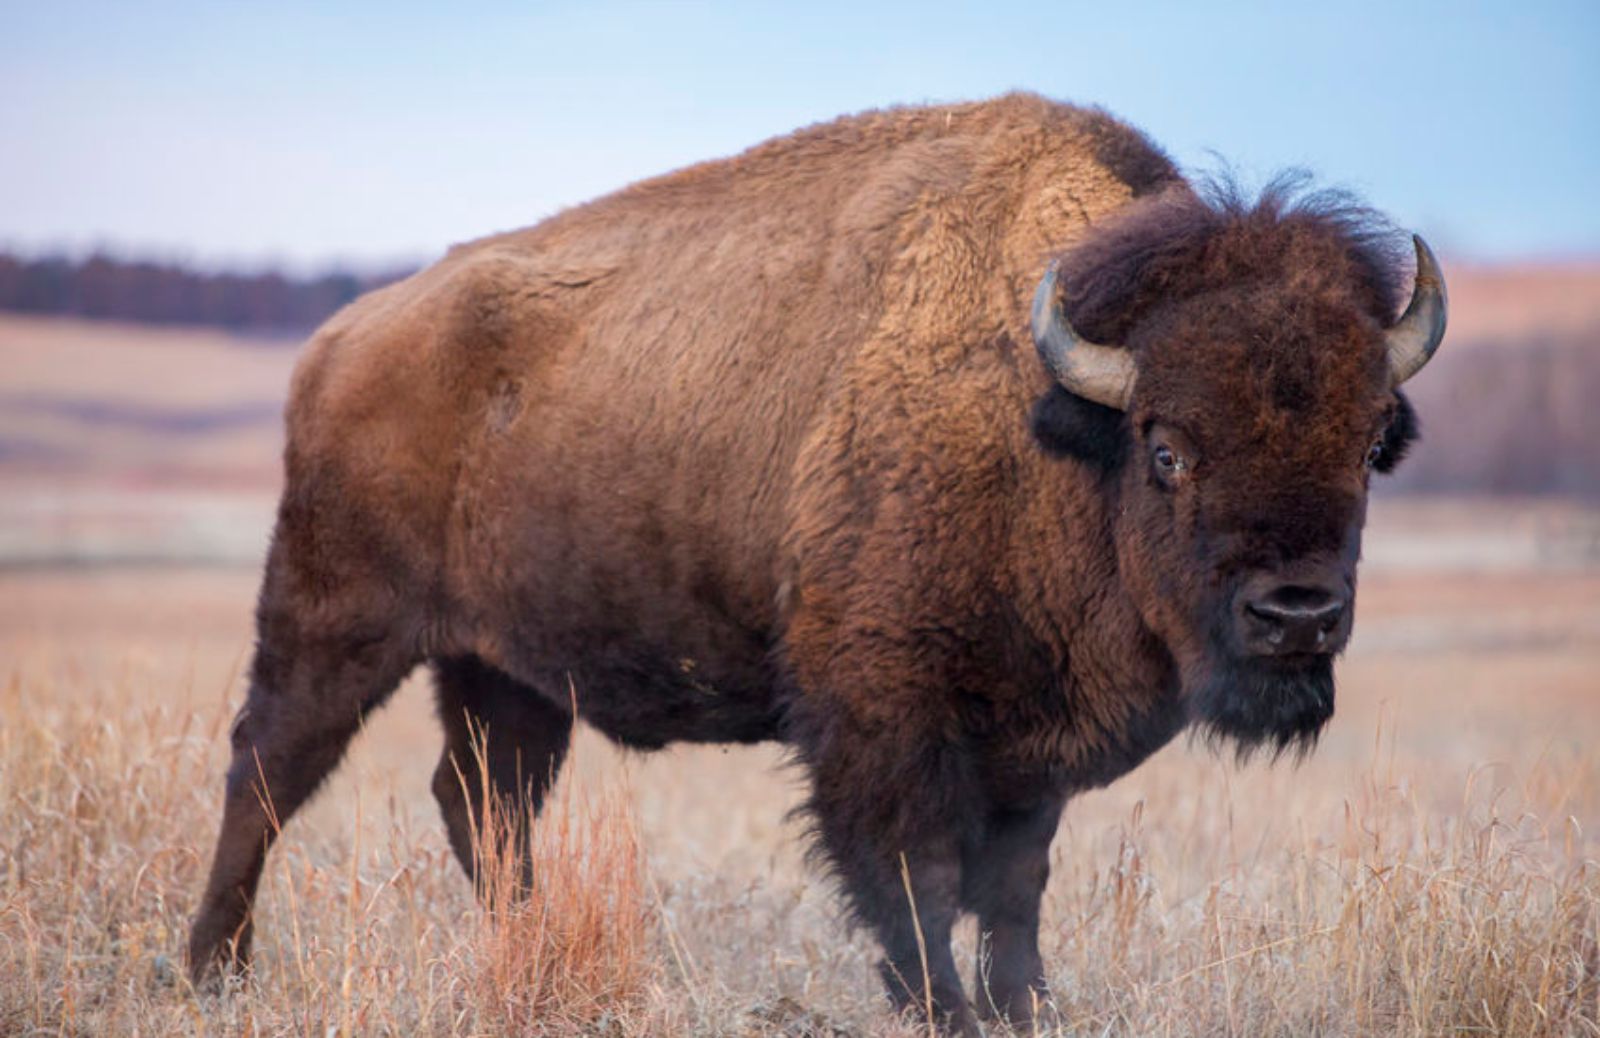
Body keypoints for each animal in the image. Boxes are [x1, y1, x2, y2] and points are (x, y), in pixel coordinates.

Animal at [193, 95, 1446, 1030]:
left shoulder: (1025, 750)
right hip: (337, 617)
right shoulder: (880, 720)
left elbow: (1015, 892)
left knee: (483, 802)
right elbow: (915, 883)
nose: (1296, 614)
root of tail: (343, 338)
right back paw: (212, 970)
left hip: (502, 670)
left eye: (1367, 443)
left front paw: (1025, 1009)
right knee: (269, 767)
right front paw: (943, 1011)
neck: (1046, 423)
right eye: (1168, 446)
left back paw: (523, 952)